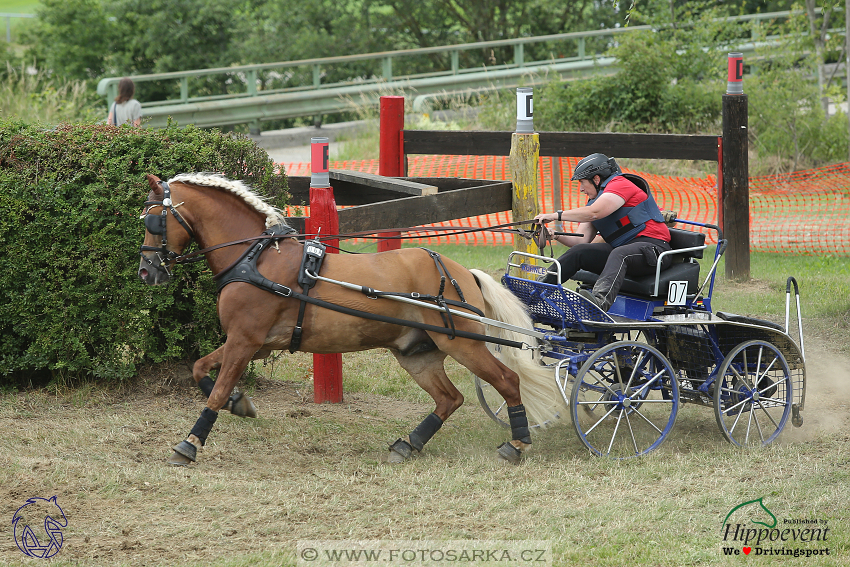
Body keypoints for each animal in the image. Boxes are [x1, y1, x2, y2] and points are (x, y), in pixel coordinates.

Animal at [137, 173, 564, 466]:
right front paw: (241, 403)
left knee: (506, 381)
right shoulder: (254, 343)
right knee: (449, 398)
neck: (255, 257)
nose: (146, 272)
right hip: (417, 353)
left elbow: (216, 390)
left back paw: (516, 444)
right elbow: (200, 369)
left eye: (154, 220)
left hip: (463, 343)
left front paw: (190, 444)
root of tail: (464, 273)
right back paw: (408, 444)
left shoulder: (246, 340)